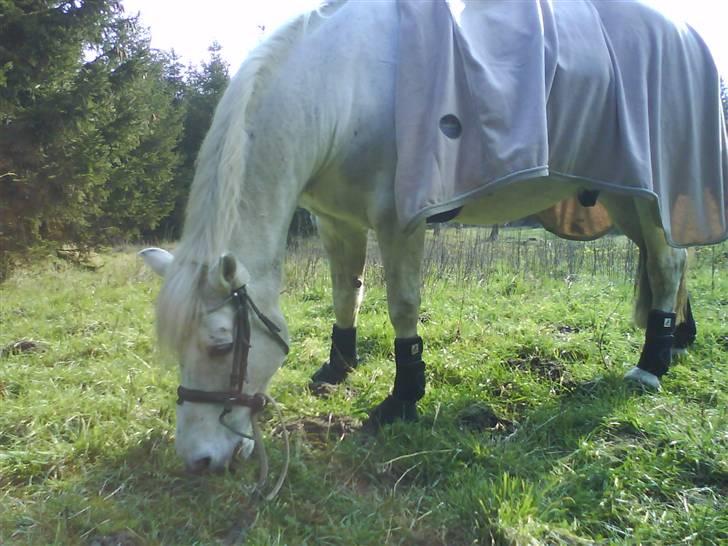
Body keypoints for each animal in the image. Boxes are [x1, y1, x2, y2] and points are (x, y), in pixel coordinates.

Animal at [138, 2, 716, 472]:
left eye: (222, 345)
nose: (198, 459)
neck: (345, 84)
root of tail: (685, 32)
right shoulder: (337, 220)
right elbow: (345, 293)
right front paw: (338, 368)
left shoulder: (401, 220)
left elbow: (401, 306)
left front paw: (402, 399)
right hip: (624, 195)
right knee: (669, 262)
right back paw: (677, 340)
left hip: (649, 195)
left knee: (667, 263)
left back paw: (650, 367)